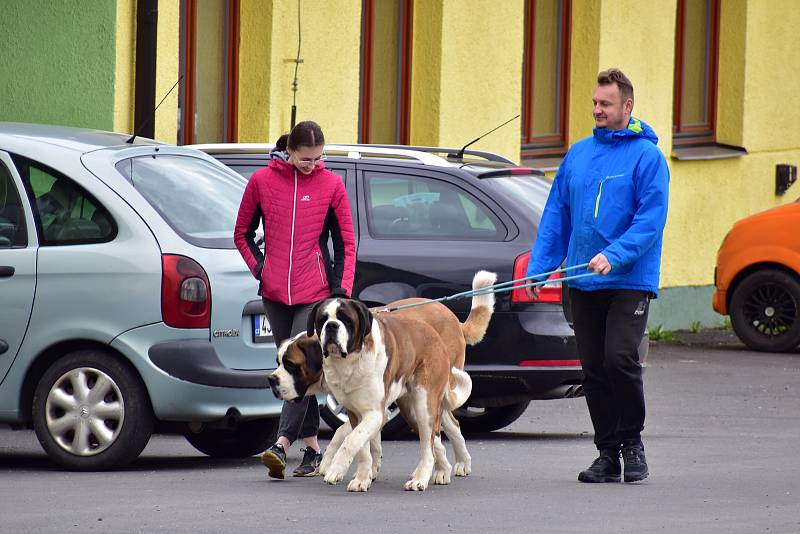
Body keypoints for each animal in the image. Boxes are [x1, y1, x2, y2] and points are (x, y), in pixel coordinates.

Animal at [276, 272, 494, 494]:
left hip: (425, 402)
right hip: (412, 407)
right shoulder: (357, 411)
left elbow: (348, 438)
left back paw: (435, 472)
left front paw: (333, 466)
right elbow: (364, 444)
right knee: (441, 430)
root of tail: (452, 318)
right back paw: (444, 468)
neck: (348, 363)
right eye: (322, 319)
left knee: (436, 434)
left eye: (291, 365)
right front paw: (365, 475)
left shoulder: (377, 411)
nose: (272, 379)